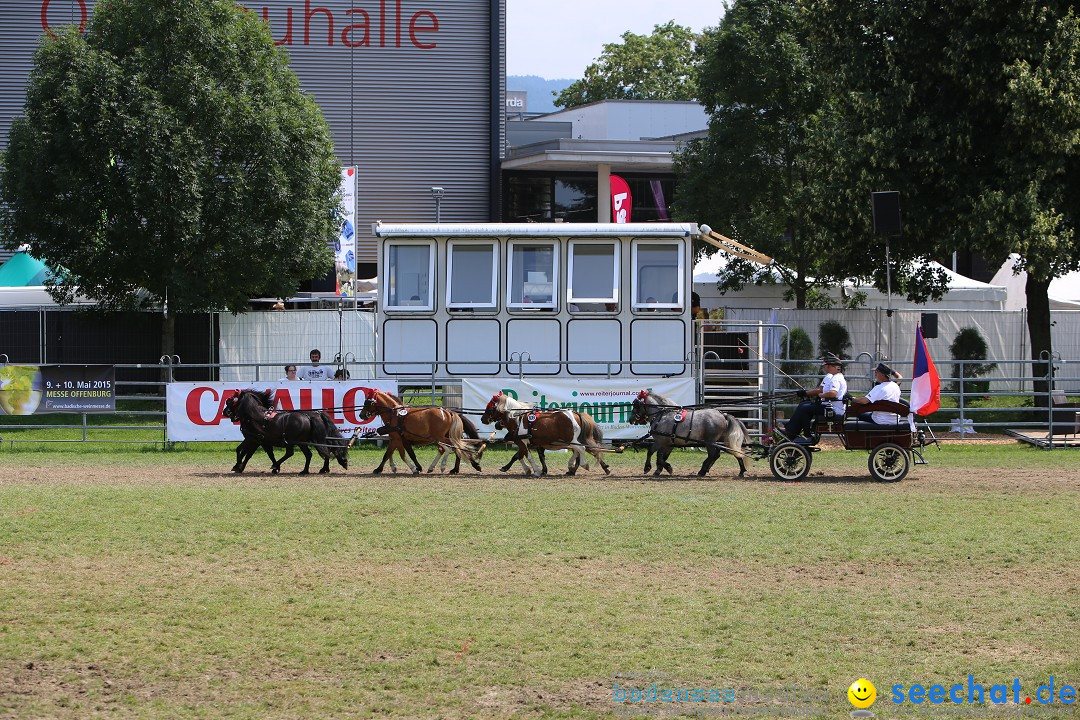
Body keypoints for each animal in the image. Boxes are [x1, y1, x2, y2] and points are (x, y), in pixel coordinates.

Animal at [221, 390, 352, 474]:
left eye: (230, 401)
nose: (224, 412)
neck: (254, 416)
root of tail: (311, 415)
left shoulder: (254, 439)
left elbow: (246, 453)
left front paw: (239, 466)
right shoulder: (258, 440)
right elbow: (248, 451)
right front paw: (238, 466)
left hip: (294, 440)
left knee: (295, 453)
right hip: (304, 441)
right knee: (316, 453)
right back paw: (307, 470)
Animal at [479, 390, 613, 474]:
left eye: (489, 407)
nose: (482, 419)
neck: (517, 418)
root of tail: (576, 414)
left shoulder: (523, 442)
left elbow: (525, 456)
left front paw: (536, 471)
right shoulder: (528, 443)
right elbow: (520, 456)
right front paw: (531, 470)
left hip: (572, 439)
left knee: (582, 449)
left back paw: (584, 465)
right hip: (572, 440)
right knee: (582, 451)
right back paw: (574, 467)